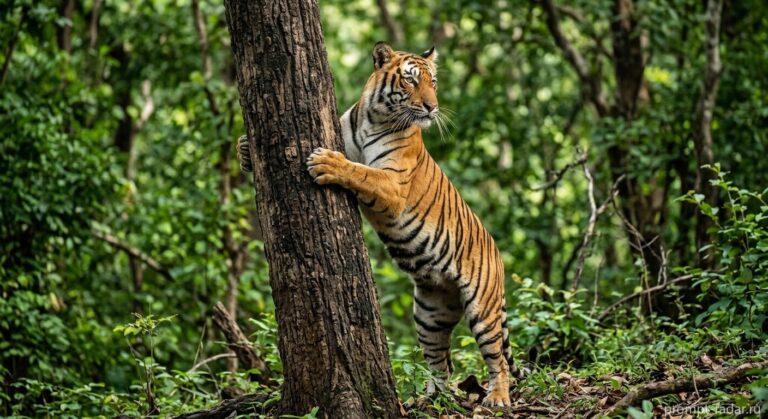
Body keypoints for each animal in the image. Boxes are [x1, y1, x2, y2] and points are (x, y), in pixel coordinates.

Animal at [237, 42, 519, 407]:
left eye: (434, 82)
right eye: (412, 81)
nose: (432, 107)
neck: (374, 118)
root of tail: (497, 252)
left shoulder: (393, 183)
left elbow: (361, 172)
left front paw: (326, 163)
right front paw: (244, 147)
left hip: (482, 308)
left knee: (498, 357)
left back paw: (497, 397)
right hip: (430, 312)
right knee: (441, 363)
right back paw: (430, 400)